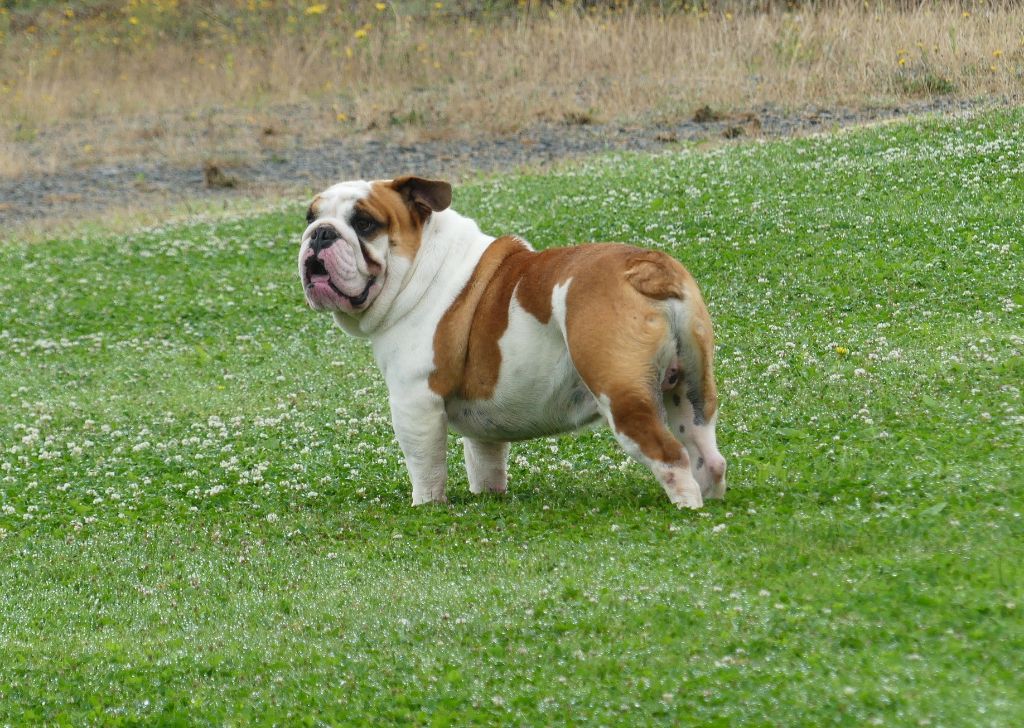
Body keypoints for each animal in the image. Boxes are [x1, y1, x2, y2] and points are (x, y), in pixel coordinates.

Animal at [298, 176, 726, 508]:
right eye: (310, 216)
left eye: (364, 223)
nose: (320, 233)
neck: (421, 268)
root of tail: (645, 268)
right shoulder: (481, 421)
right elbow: (485, 460)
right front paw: (489, 496)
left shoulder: (414, 401)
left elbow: (426, 467)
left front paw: (427, 506)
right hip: (691, 390)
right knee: (707, 453)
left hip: (622, 395)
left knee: (670, 455)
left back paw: (686, 506)